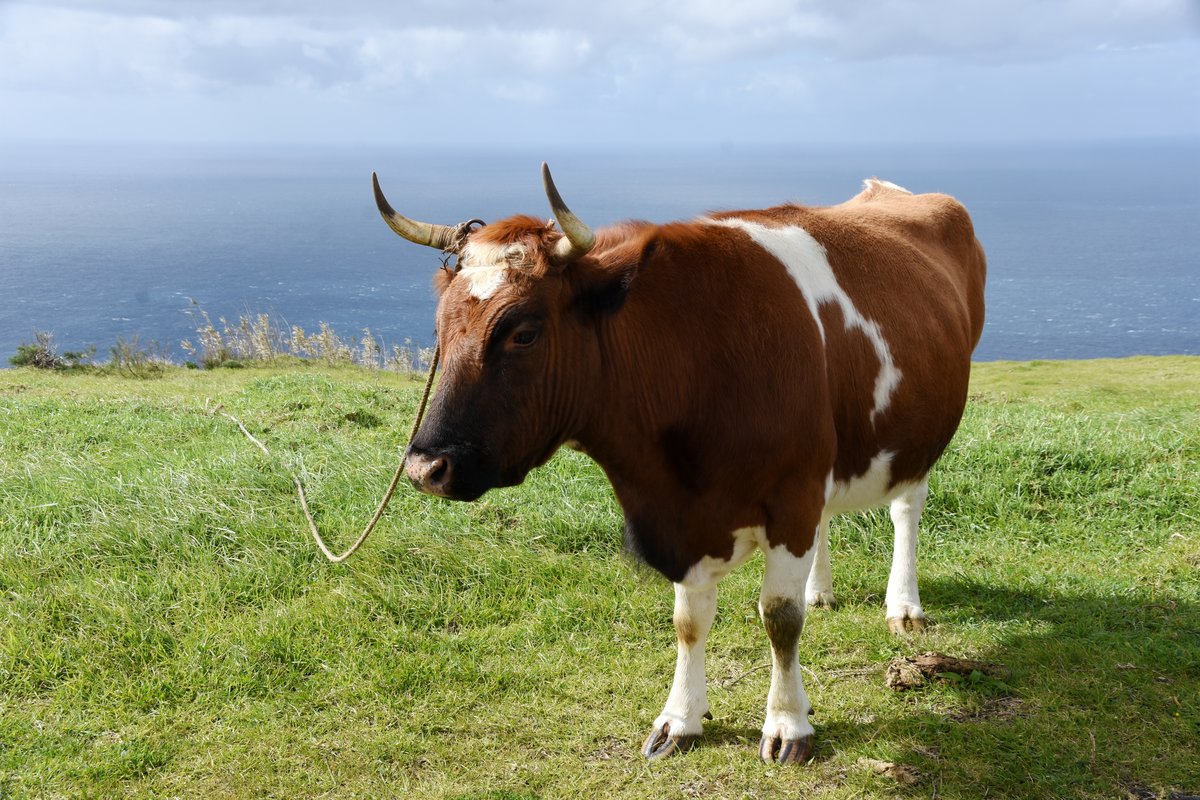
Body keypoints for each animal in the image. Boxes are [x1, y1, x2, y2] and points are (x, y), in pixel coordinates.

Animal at [372, 164, 984, 767]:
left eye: (523, 331)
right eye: (440, 329)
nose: (425, 467)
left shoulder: (791, 493)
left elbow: (780, 618)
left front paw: (788, 723)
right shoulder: (692, 512)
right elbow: (689, 622)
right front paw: (680, 719)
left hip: (920, 434)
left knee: (906, 510)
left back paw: (903, 605)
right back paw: (821, 588)